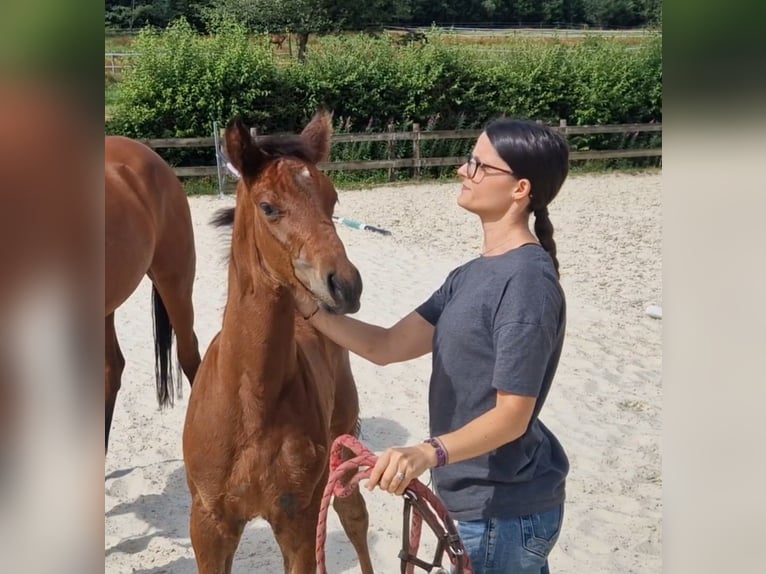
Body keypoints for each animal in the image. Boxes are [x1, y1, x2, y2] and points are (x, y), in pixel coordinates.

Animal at [182, 110, 374, 574]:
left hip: (343, 446)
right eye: (268, 207)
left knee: (354, 516)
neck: (252, 405)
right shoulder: (208, 525)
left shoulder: (298, 519)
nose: (345, 285)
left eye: (333, 200)